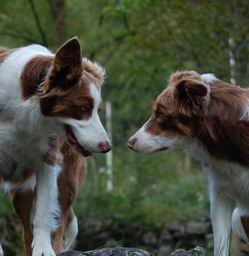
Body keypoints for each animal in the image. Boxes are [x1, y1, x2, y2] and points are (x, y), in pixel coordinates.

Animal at [0, 38, 111, 256]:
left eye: (98, 110)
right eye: (84, 108)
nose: (107, 147)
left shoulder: (49, 158)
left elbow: (44, 212)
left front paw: (44, 250)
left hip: (66, 177)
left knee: (58, 220)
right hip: (20, 193)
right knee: (26, 232)